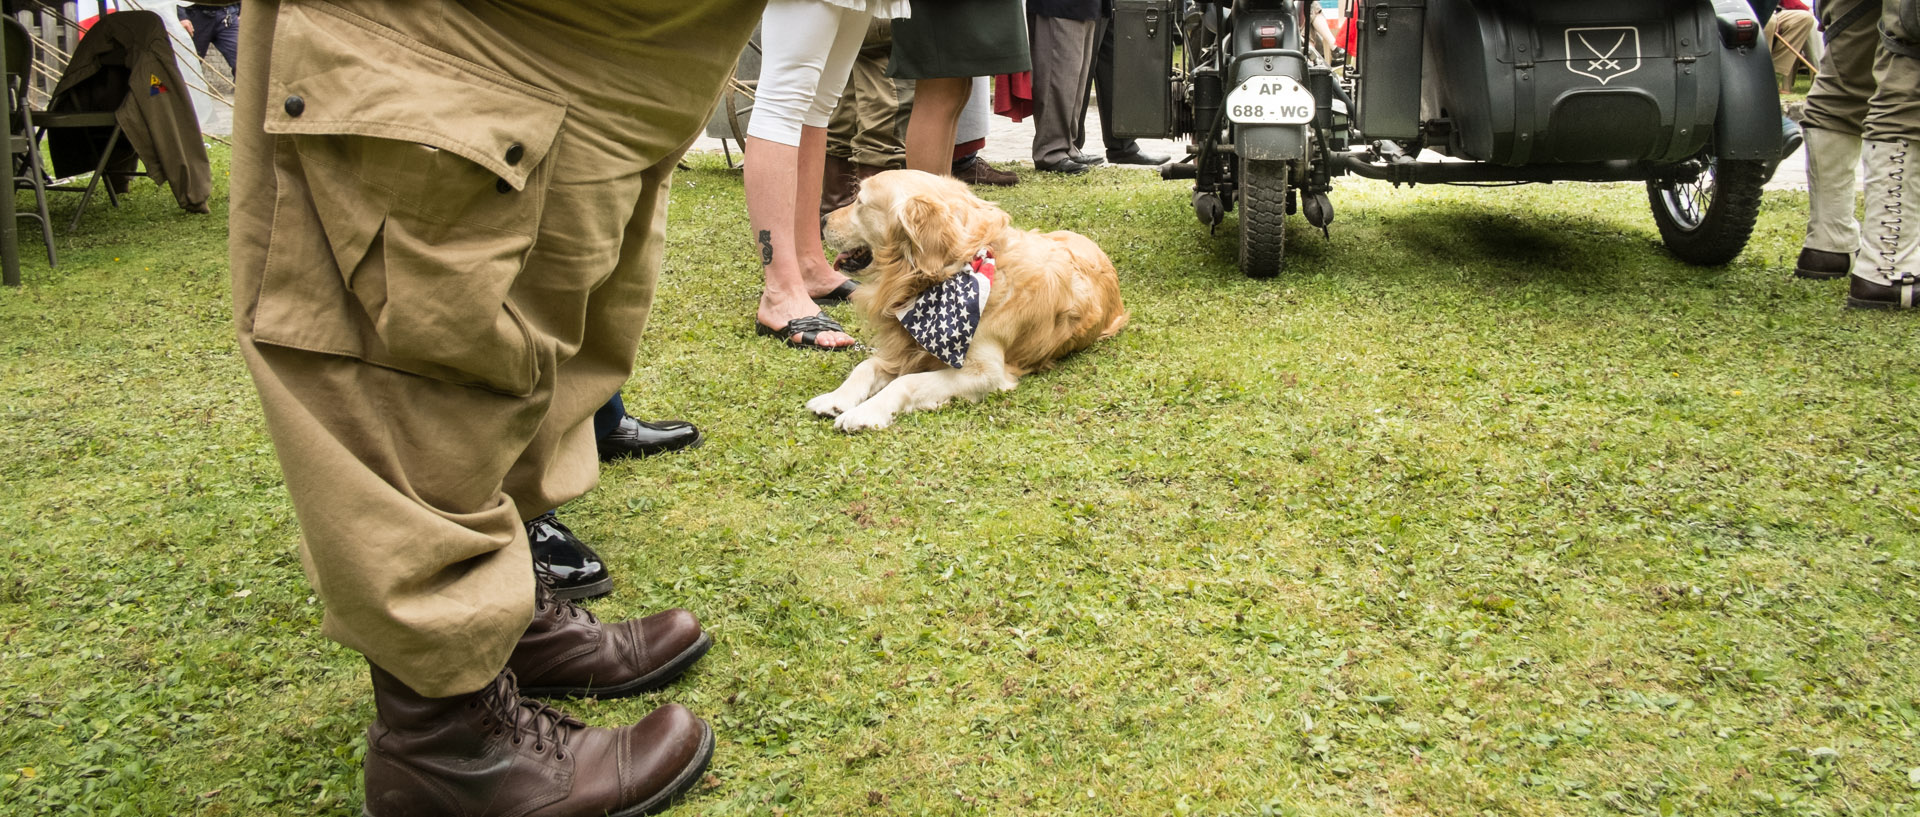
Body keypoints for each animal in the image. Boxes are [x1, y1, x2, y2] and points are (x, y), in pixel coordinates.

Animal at [806, 168, 1121, 431]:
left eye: (860, 202)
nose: (822, 219)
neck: (953, 270)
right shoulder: (904, 349)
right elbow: (865, 366)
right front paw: (835, 398)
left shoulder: (985, 373)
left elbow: (905, 382)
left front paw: (865, 412)